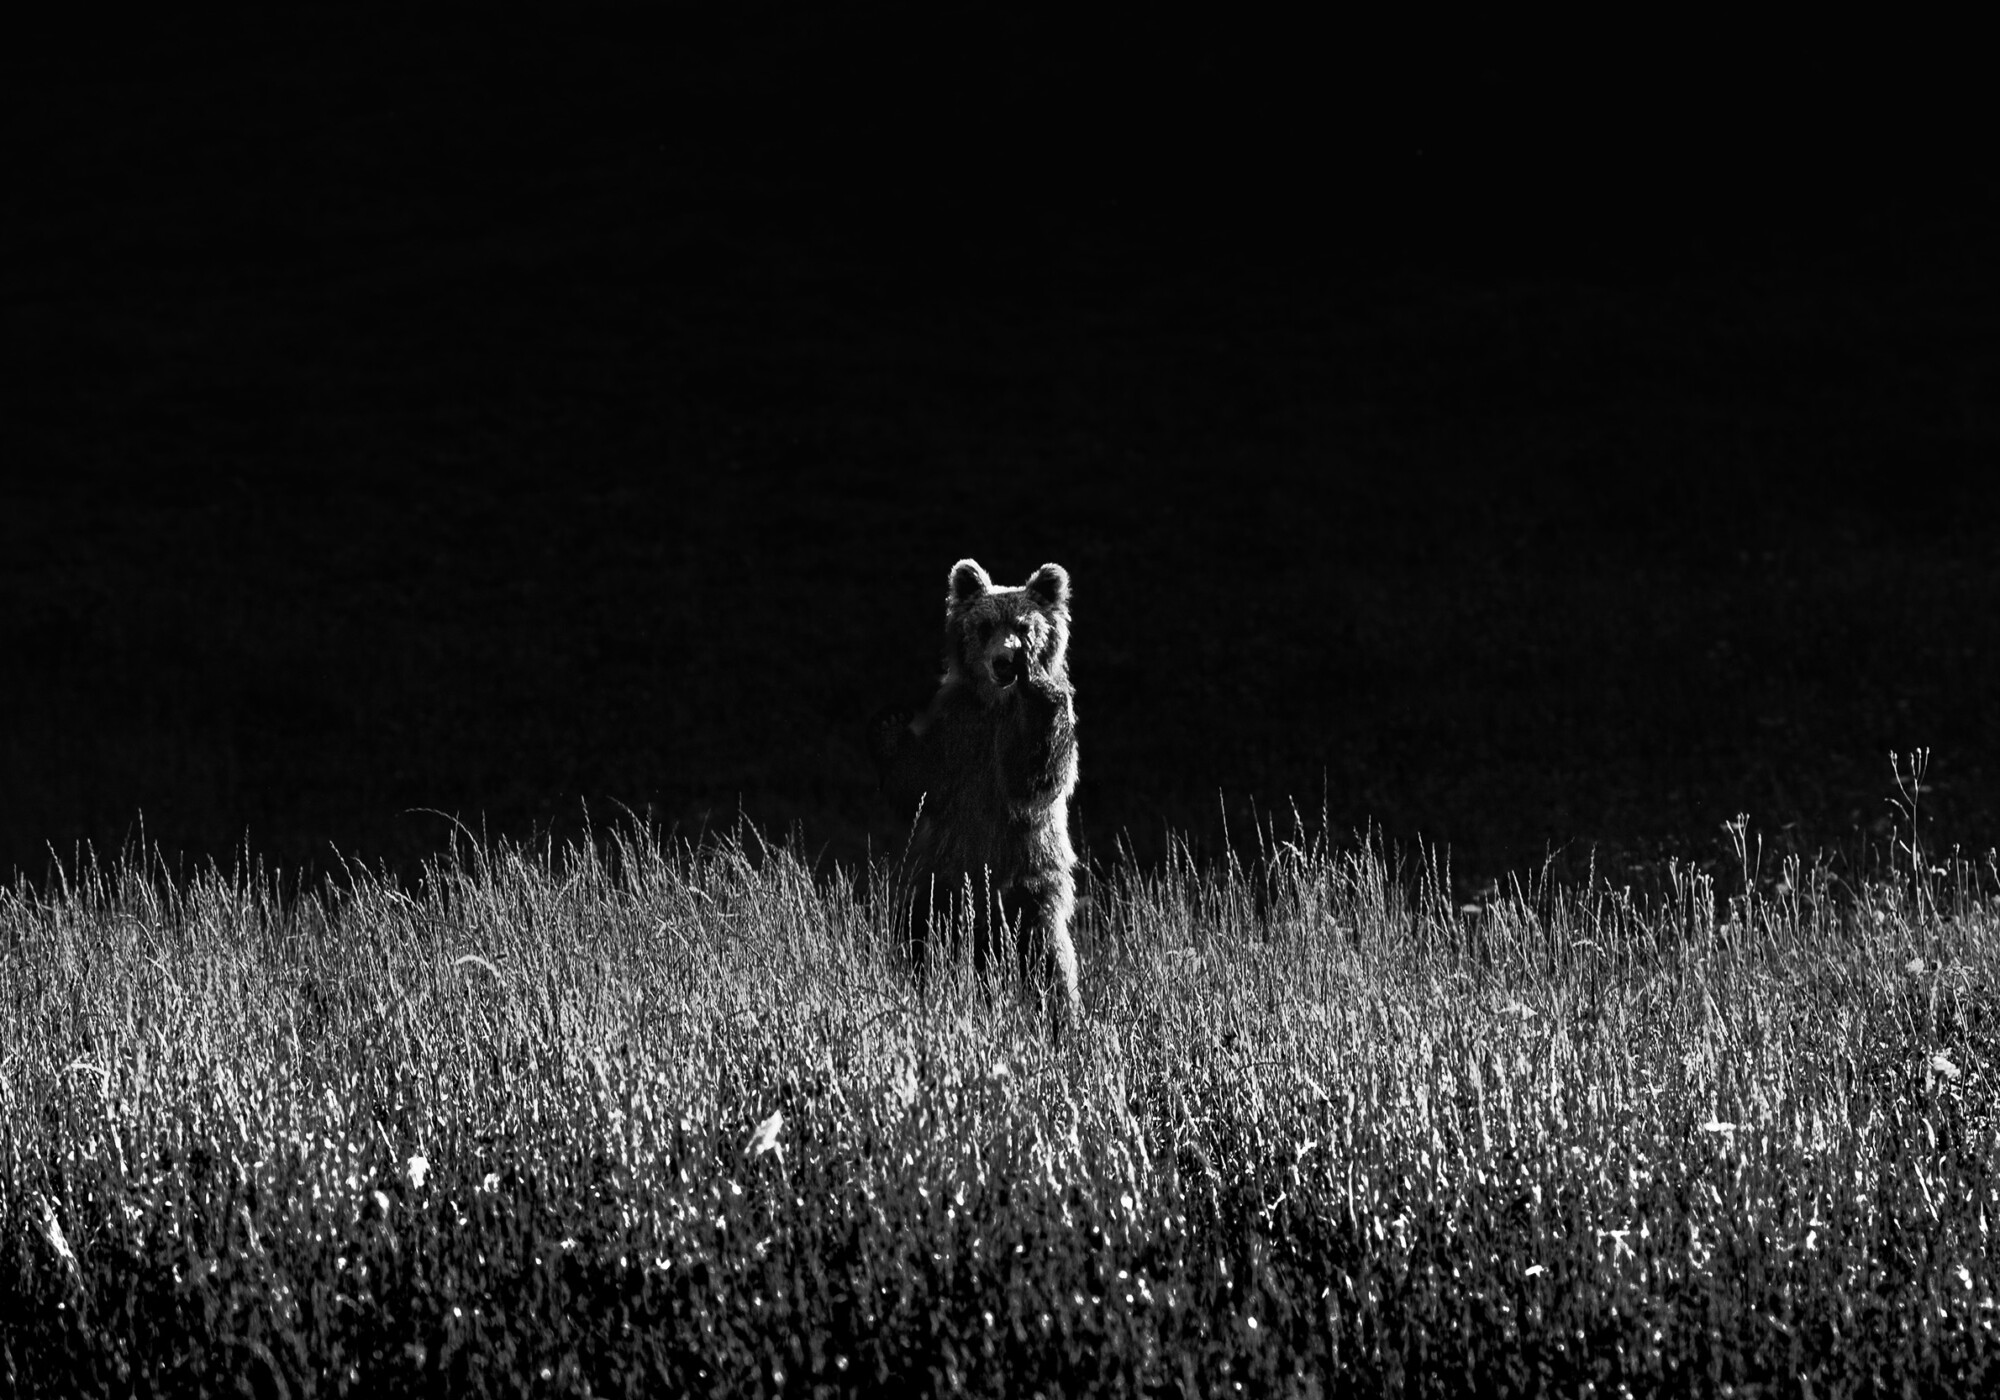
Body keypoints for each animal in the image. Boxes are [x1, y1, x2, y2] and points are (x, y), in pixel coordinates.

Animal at [869, 558, 1082, 1027]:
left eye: (1024, 627)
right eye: (983, 626)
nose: (1005, 661)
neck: (997, 705)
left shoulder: (1021, 750)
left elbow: (1035, 777)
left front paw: (1037, 684)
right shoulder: (957, 731)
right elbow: (920, 785)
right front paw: (891, 728)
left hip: (1032, 890)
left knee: (1050, 964)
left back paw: (1061, 1021)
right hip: (940, 885)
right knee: (916, 939)